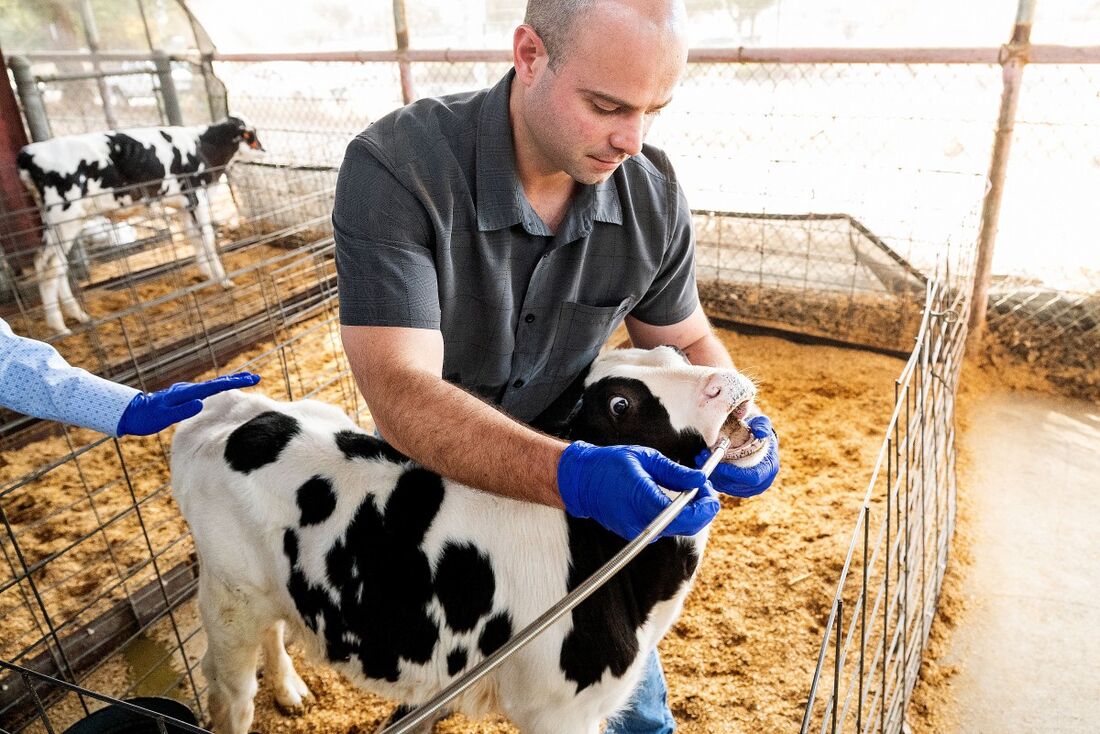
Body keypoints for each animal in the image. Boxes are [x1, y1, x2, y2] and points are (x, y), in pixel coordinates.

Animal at [18, 116, 262, 334]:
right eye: (251, 137)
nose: (264, 150)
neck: (203, 146)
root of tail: (28, 153)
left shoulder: (183, 205)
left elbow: (194, 238)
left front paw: (207, 275)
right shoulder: (197, 196)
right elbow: (208, 240)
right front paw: (224, 280)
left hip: (61, 220)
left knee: (55, 264)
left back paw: (78, 316)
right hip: (64, 214)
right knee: (49, 264)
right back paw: (59, 326)